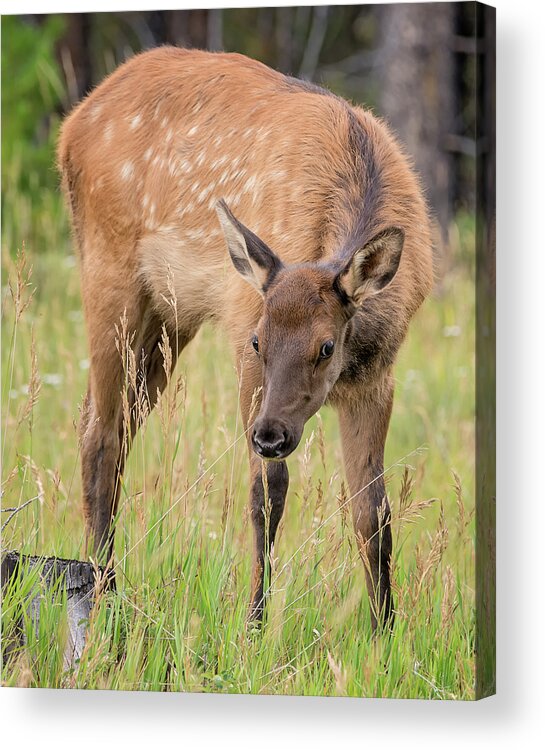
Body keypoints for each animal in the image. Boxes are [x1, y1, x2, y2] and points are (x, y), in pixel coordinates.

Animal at [58, 47, 434, 632]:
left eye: (327, 347)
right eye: (260, 341)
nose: (271, 436)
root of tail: (72, 124)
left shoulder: (377, 377)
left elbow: (373, 509)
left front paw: (384, 631)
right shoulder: (242, 342)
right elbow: (266, 494)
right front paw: (255, 622)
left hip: (168, 318)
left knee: (105, 423)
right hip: (107, 271)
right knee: (100, 430)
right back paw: (103, 588)